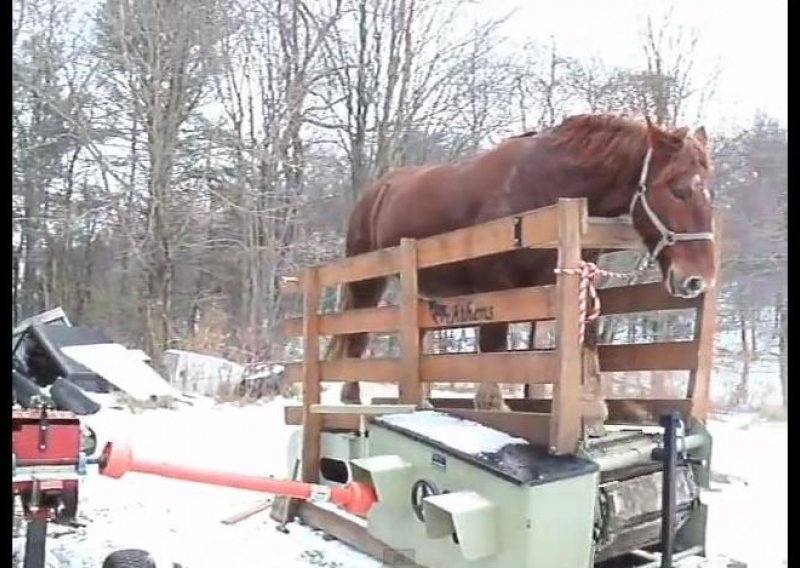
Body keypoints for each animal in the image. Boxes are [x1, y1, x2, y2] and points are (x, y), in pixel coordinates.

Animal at [328, 114, 716, 408]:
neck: (545, 191)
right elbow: (495, 346)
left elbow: (581, 342)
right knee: (357, 334)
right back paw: (351, 396)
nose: (698, 280)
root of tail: (377, 190)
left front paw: (592, 411)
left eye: (709, 194)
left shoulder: (570, 280)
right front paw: (493, 405)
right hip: (366, 281)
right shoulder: (494, 284)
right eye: (678, 189)